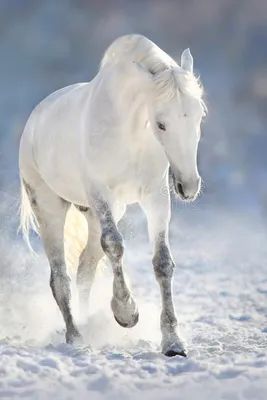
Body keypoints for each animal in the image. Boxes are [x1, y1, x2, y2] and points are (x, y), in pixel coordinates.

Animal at [18, 34, 207, 356]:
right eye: (161, 123)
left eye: (199, 117)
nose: (189, 185)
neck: (130, 133)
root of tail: (34, 120)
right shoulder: (100, 194)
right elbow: (115, 245)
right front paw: (126, 312)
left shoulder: (155, 198)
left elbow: (162, 261)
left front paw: (172, 342)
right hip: (49, 207)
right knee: (60, 278)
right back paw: (75, 336)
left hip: (97, 215)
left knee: (84, 270)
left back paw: (87, 325)